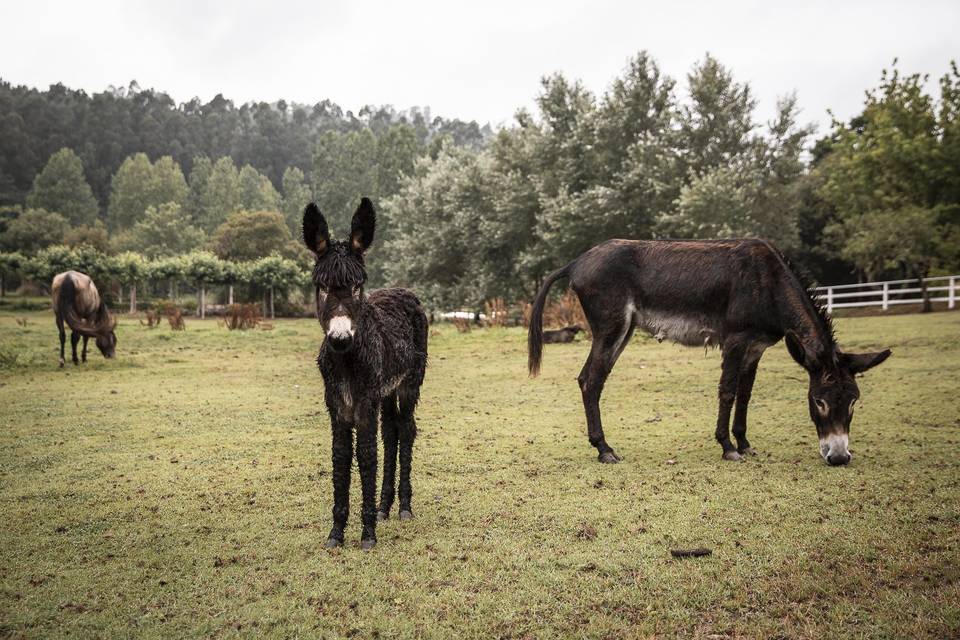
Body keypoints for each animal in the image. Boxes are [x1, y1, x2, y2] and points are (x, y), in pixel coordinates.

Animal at [528, 239, 888, 464]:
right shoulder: (735, 341)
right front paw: (727, 447)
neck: (770, 283)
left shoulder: (755, 347)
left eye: (853, 400)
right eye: (819, 401)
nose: (839, 458)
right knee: (592, 380)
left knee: (589, 379)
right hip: (611, 327)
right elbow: (727, 391)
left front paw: (744, 443)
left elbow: (745, 394)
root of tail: (578, 260)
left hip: (624, 330)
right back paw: (604, 449)